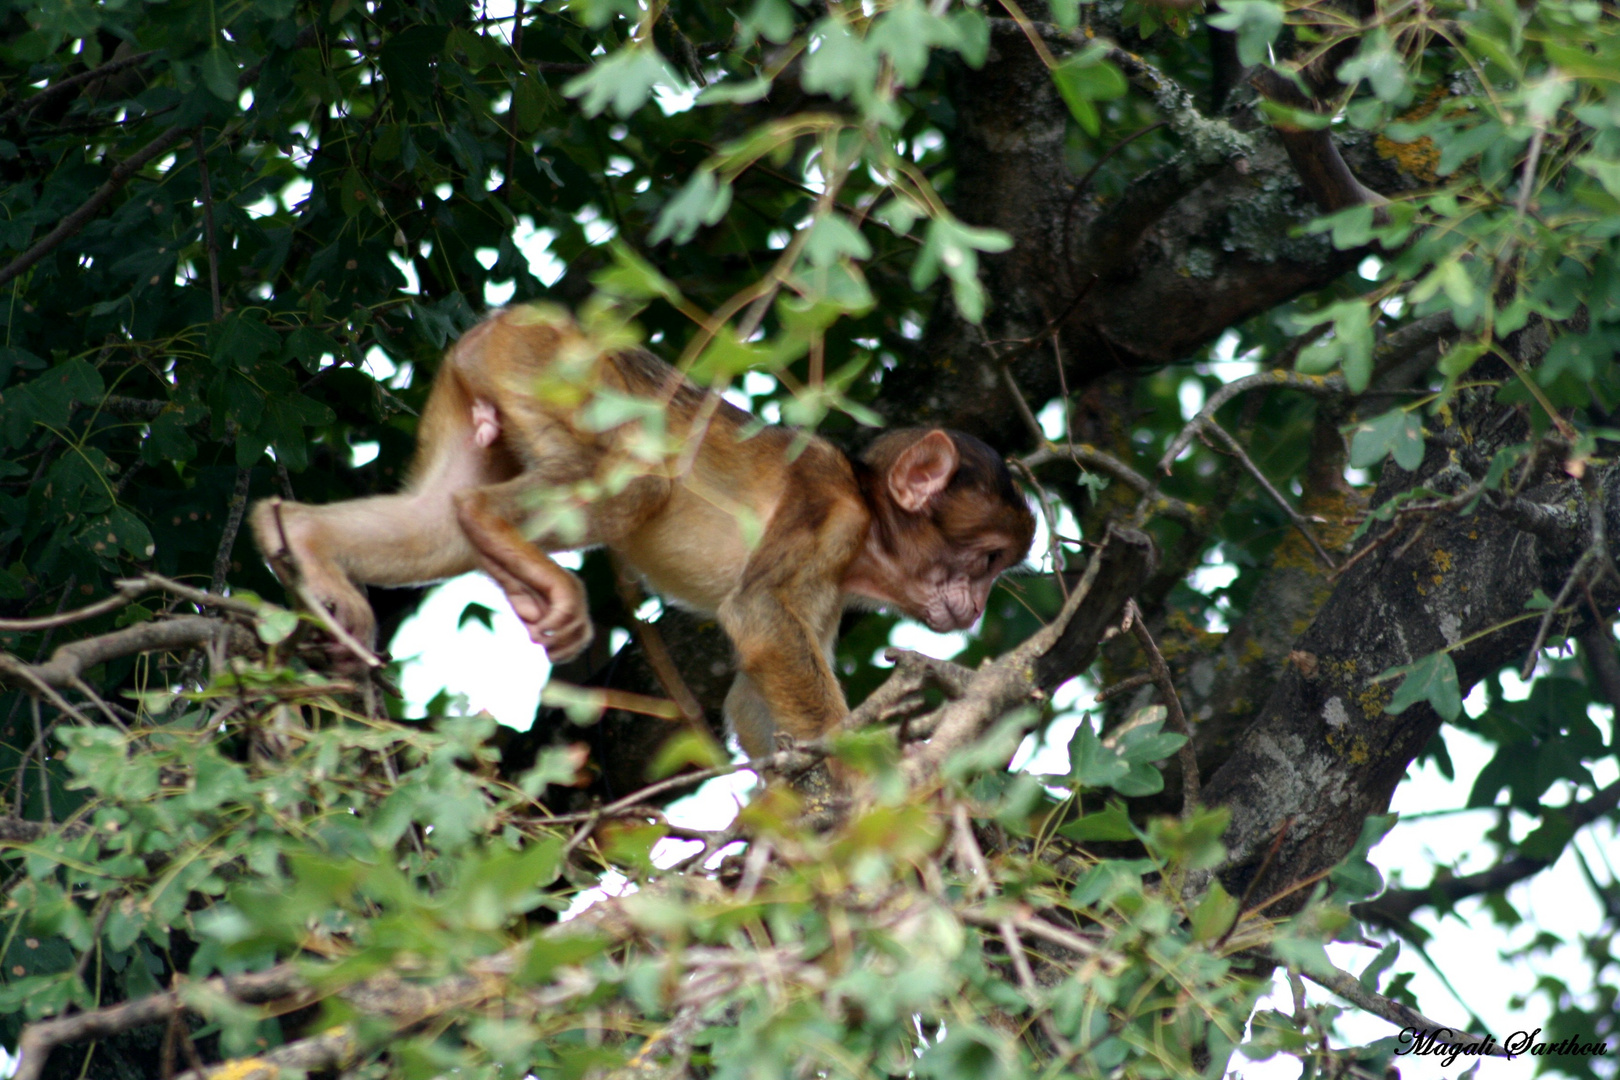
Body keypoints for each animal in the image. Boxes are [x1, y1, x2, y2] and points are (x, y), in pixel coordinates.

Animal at [252, 304, 1036, 761]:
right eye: (985, 560)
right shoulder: (825, 517)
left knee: (436, 519)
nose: (976, 608)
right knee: (636, 480)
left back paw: (300, 539)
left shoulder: (835, 584)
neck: (869, 519)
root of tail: (504, 322)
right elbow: (759, 619)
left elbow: (754, 692)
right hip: (555, 374)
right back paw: (495, 530)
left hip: (485, 386)